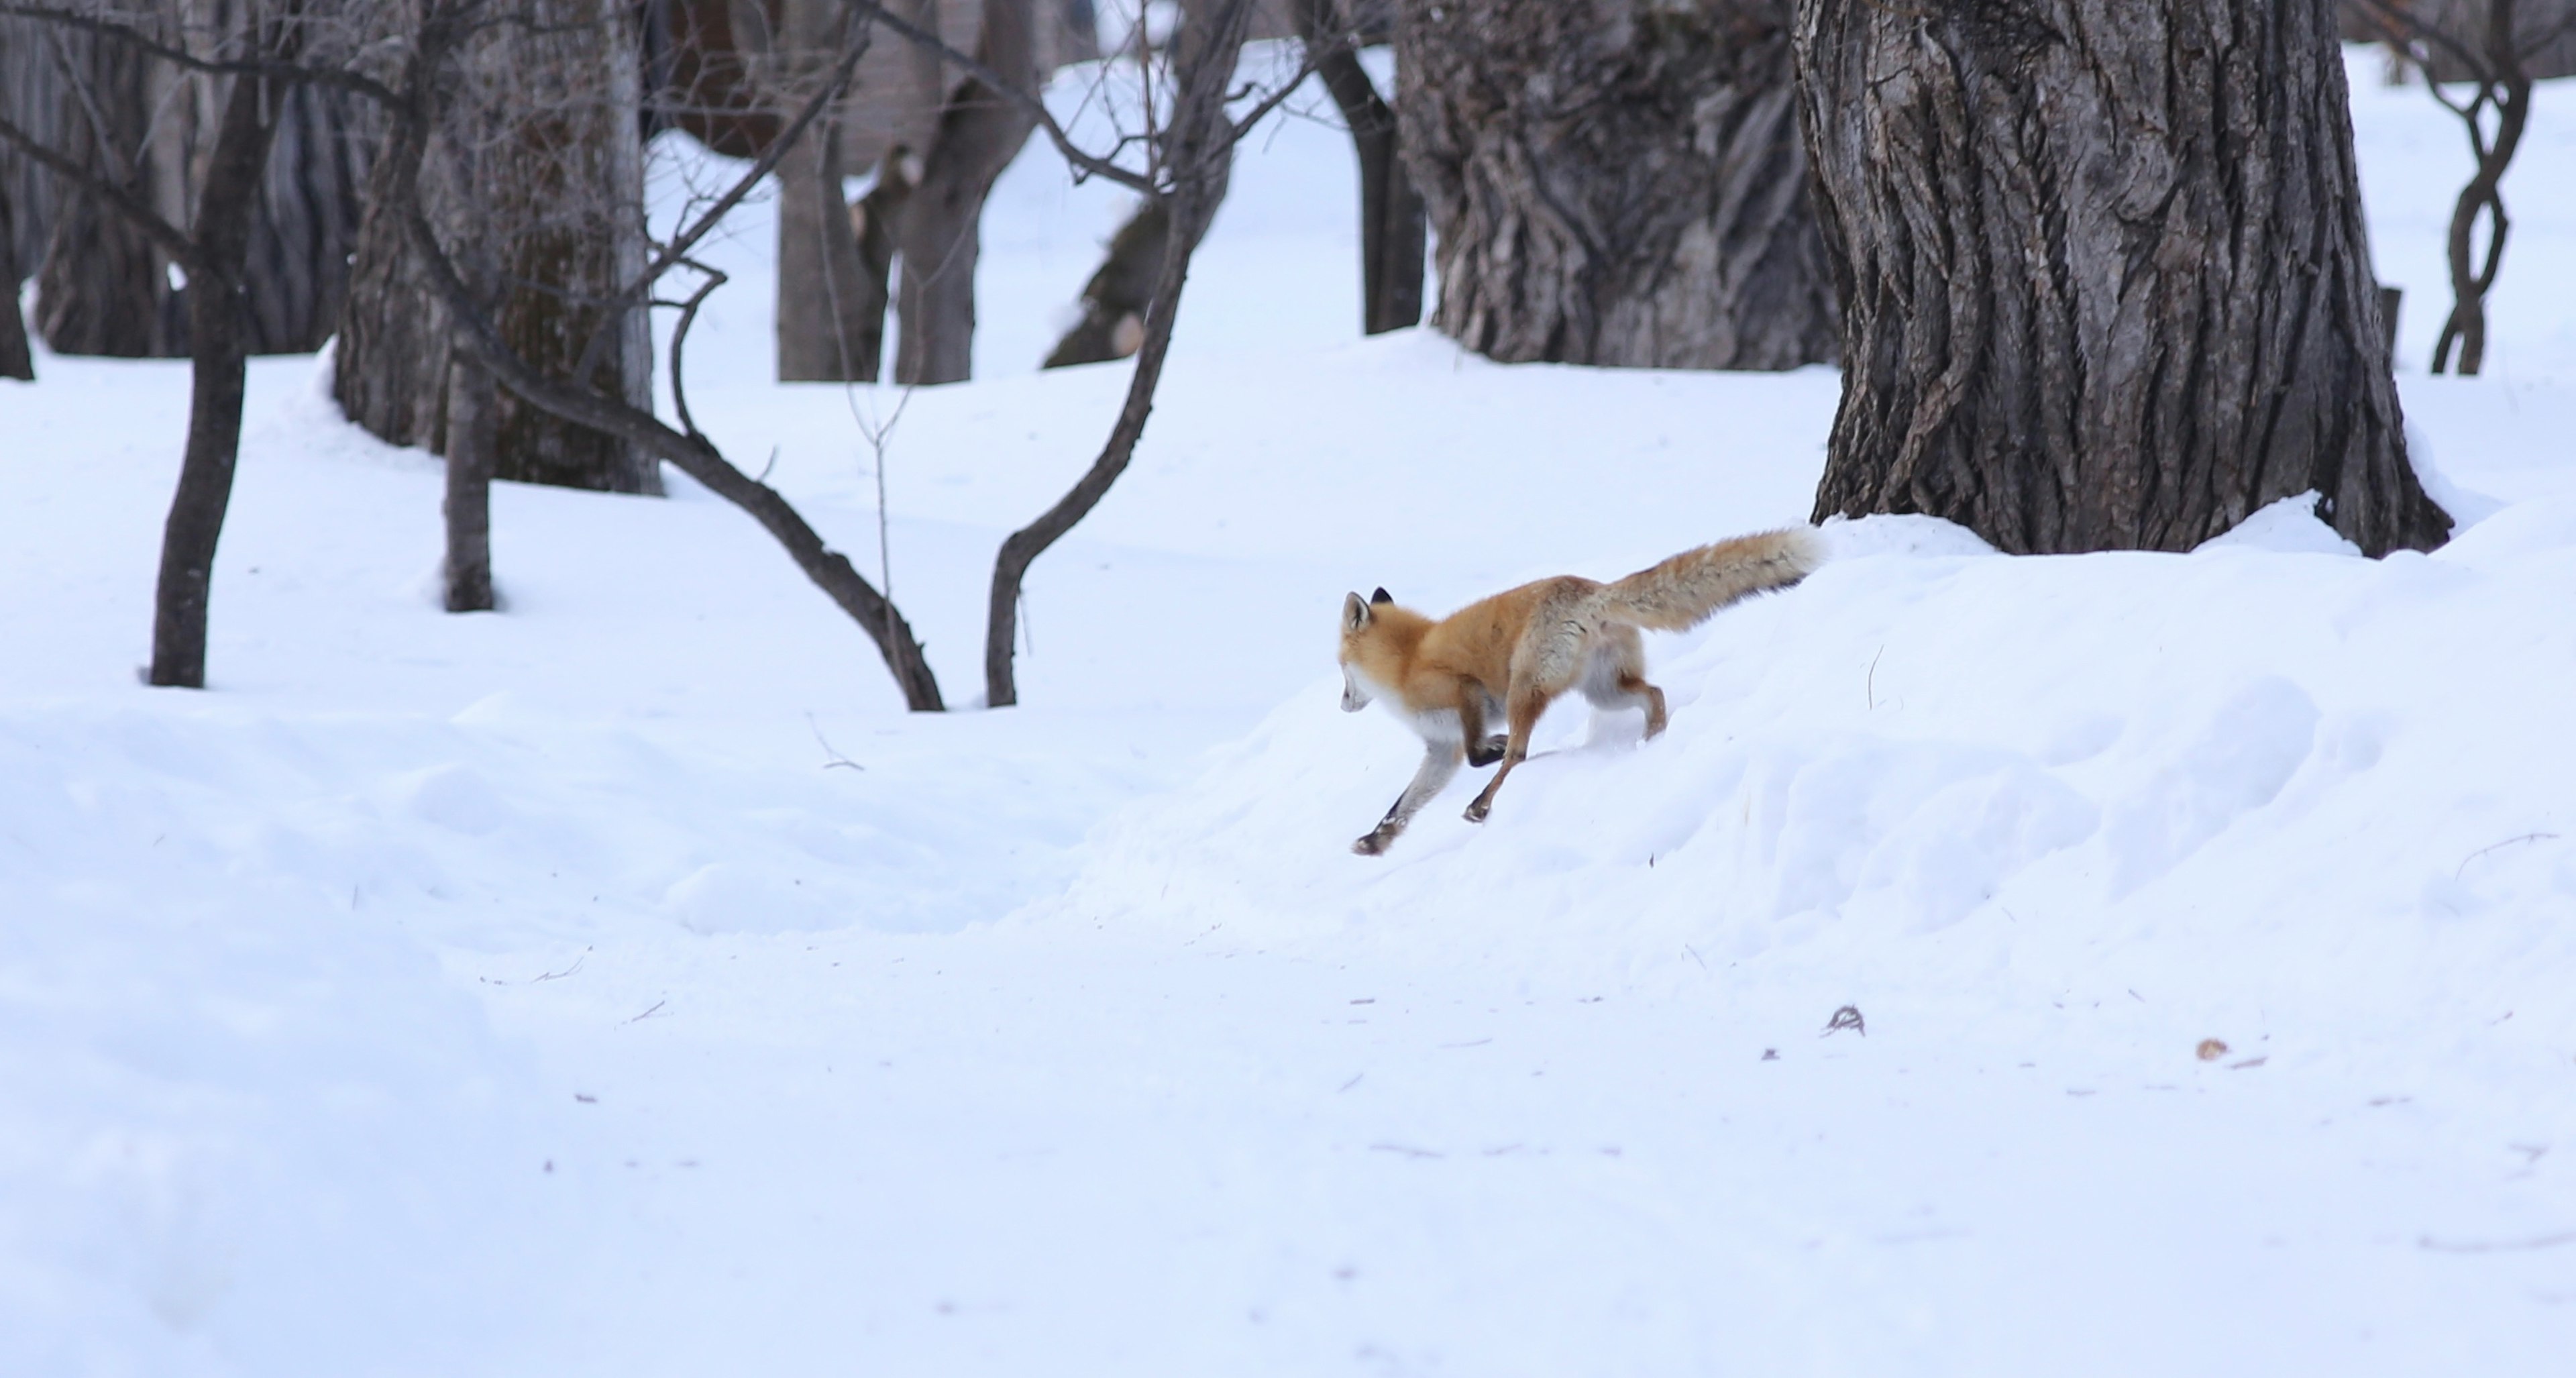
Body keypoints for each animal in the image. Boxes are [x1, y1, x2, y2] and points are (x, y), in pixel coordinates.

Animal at [1339, 528, 1823, 849]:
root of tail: (1591, 589)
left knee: (1520, 755)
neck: (1406, 662)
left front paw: (1493, 748)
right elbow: (1403, 804)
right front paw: (1376, 840)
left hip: (1524, 689)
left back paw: (1483, 803)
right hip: (1606, 691)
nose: (1342, 705)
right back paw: (1652, 740)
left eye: (1341, 669)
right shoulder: (1440, 749)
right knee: (1655, 694)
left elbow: (1479, 753)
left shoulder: (1465, 695)